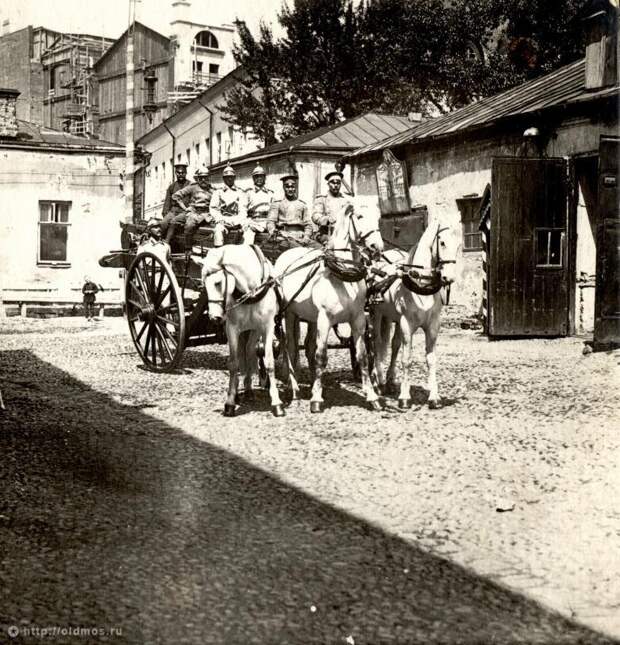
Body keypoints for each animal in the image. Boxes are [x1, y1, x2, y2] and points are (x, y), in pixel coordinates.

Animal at [201, 244, 284, 416]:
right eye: (203, 284)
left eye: (218, 283)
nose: (214, 317)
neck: (250, 291)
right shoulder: (232, 329)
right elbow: (233, 364)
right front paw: (230, 402)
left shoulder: (267, 327)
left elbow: (269, 362)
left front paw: (276, 403)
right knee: (242, 353)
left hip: (254, 329)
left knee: (250, 350)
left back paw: (248, 389)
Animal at [274, 201, 382, 412]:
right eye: (360, 216)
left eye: (378, 216)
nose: (377, 247)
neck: (343, 277)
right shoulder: (325, 320)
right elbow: (321, 356)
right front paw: (316, 399)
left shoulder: (358, 320)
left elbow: (363, 357)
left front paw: (372, 397)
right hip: (289, 314)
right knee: (291, 347)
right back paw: (295, 389)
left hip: (311, 318)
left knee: (307, 347)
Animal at [368, 219, 460, 406]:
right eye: (442, 242)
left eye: (459, 244)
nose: (449, 278)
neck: (421, 284)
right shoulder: (407, 324)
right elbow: (407, 359)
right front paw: (404, 396)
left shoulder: (433, 325)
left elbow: (431, 359)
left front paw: (434, 396)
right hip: (377, 314)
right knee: (377, 342)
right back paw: (378, 380)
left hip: (393, 318)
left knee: (394, 344)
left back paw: (389, 380)